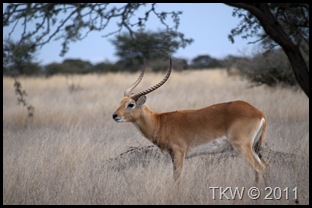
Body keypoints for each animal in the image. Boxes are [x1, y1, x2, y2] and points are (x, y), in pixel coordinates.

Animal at [112, 58, 268, 180]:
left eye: (130, 104)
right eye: (121, 102)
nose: (115, 115)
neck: (160, 122)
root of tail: (259, 112)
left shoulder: (178, 153)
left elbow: (177, 178)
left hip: (242, 146)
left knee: (260, 169)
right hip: (253, 147)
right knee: (263, 168)